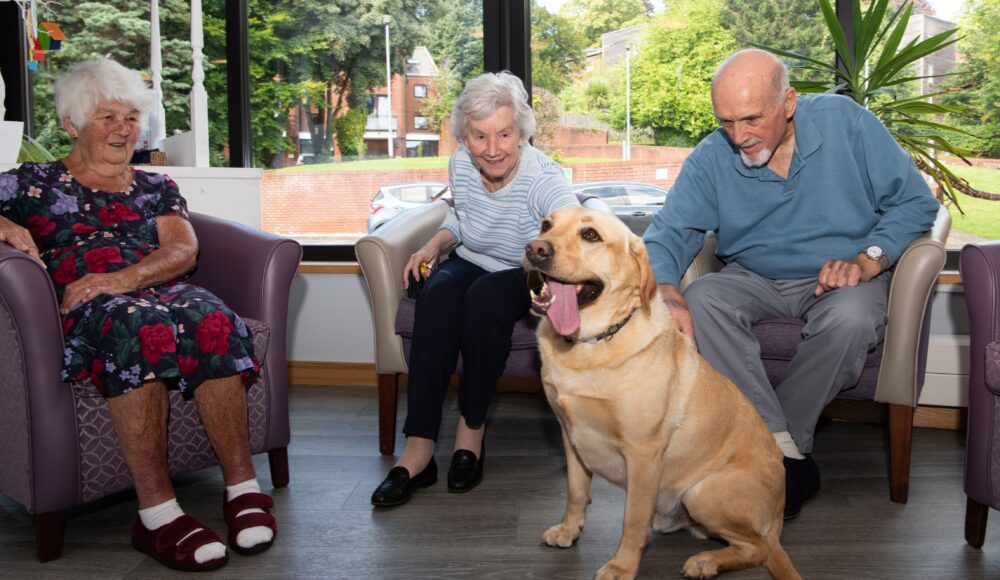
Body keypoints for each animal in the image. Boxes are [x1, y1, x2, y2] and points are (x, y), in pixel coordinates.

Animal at [524, 206, 796, 576]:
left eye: (590, 235)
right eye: (546, 225)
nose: (535, 249)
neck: (592, 342)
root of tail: (778, 516)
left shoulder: (643, 454)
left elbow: (632, 519)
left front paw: (622, 566)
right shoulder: (571, 437)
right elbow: (576, 492)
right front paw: (569, 530)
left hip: (702, 492)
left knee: (758, 549)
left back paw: (706, 561)